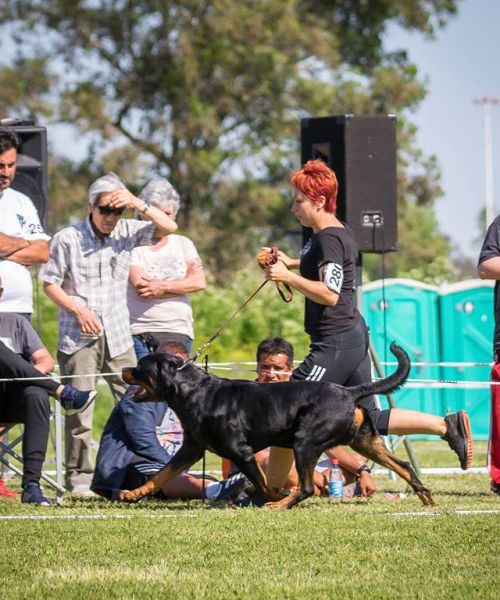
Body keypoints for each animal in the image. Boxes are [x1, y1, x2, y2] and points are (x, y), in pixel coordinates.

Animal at [119, 342, 434, 508]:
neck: (193, 392)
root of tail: (349, 392)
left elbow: (263, 483)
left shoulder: (241, 451)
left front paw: (273, 496)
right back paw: (425, 496)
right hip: (364, 441)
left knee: (306, 487)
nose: (124, 370)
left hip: (305, 441)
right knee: (403, 466)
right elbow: (161, 474)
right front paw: (133, 493)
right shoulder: (192, 449)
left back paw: (282, 504)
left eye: (140, 368)